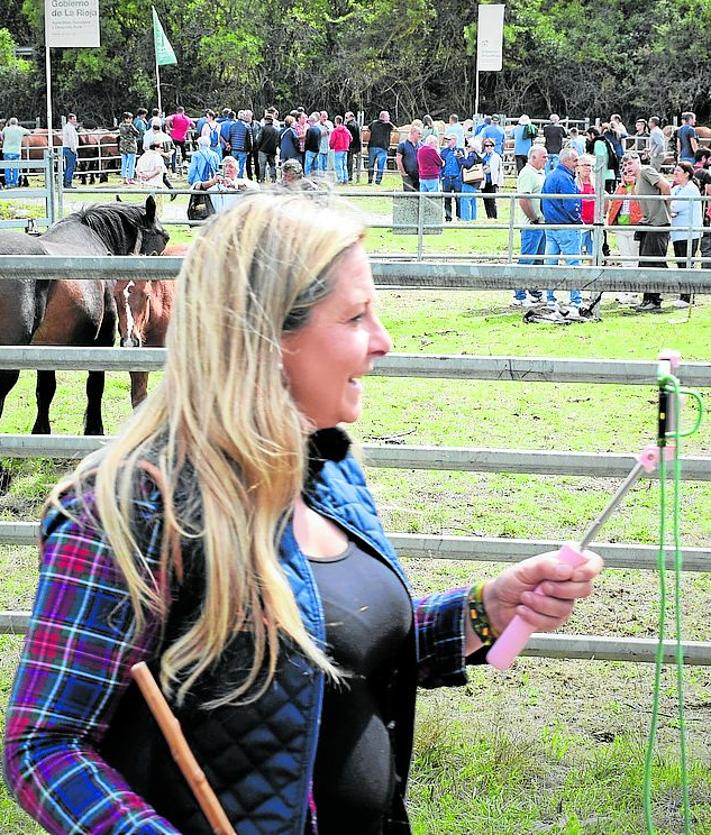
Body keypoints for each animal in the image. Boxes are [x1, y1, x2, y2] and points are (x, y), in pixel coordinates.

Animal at [0, 195, 170, 432]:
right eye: (166, 238)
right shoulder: (103, 340)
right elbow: (95, 386)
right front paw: (94, 429)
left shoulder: (47, 345)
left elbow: (45, 391)